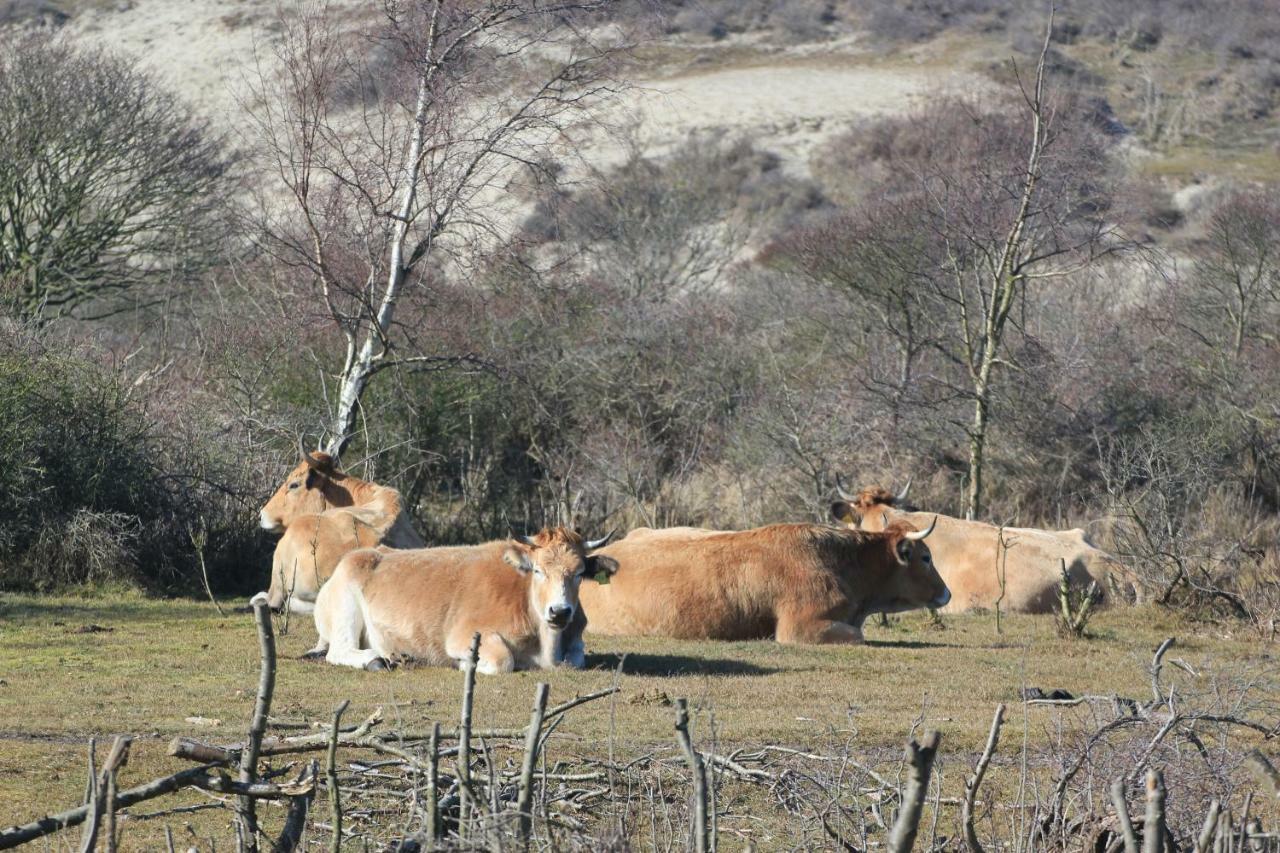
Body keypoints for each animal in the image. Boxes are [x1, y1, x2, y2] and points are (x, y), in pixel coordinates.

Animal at [312, 525, 616, 671]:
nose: (560, 611)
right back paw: (375, 660)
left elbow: (576, 658)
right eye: (538, 570)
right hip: (346, 605)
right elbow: (503, 660)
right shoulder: (463, 636)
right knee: (338, 651)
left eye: (579, 574)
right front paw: (466, 664)